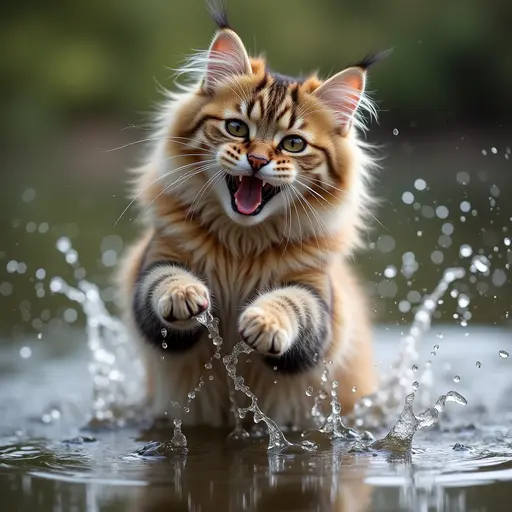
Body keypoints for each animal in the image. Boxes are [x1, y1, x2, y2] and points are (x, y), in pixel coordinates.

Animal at [117, 1, 384, 428]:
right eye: (236, 127)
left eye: (293, 144)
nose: (257, 160)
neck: (241, 243)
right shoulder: (154, 270)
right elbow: (166, 280)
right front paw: (185, 294)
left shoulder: (316, 303)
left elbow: (289, 304)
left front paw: (264, 323)